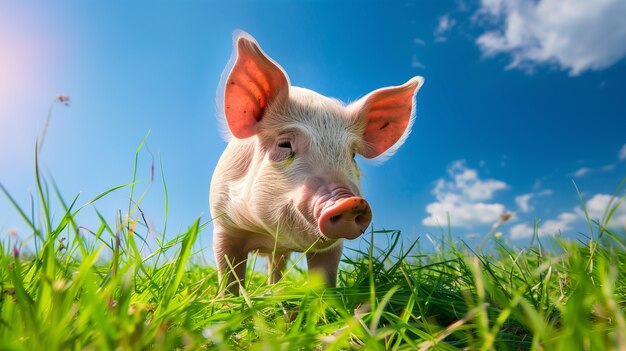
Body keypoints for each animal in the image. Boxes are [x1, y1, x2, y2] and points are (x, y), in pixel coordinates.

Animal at [211, 31, 424, 294]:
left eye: (352, 155)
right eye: (284, 145)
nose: (350, 201)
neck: (268, 233)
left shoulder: (332, 246)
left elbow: (324, 277)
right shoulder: (224, 227)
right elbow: (229, 276)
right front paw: (228, 302)